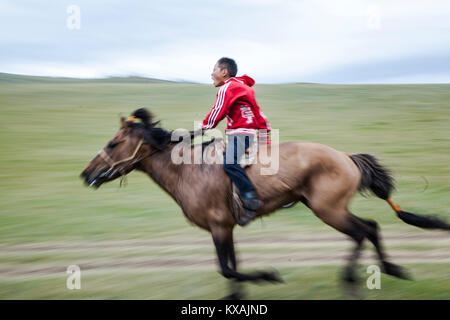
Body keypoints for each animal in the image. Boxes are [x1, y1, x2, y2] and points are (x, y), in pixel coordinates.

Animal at [81, 109, 450, 298]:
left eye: (112, 144)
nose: (86, 175)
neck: (187, 169)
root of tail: (346, 157)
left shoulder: (219, 226)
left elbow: (228, 269)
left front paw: (269, 276)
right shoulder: (225, 227)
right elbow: (231, 269)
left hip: (328, 210)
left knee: (363, 231)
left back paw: (352, 281)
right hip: (330, 209)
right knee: (370, 228)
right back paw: (390, 269)